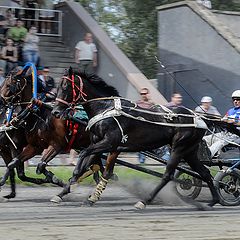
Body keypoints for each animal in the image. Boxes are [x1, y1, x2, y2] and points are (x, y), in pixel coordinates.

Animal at [51, 69, 240, 208]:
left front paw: (76, 188)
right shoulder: (106, 145)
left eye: (66, 87)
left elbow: (85, 157)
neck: (106, 108)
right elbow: (99, 168)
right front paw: (67, 193)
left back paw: (144, 200)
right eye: (58, 87)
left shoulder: (109, 142)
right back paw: (213, 201)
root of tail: (199, 117)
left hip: (179, 147)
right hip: (190, 151)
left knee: (168, 175)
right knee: (205, 173)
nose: (55, 111)